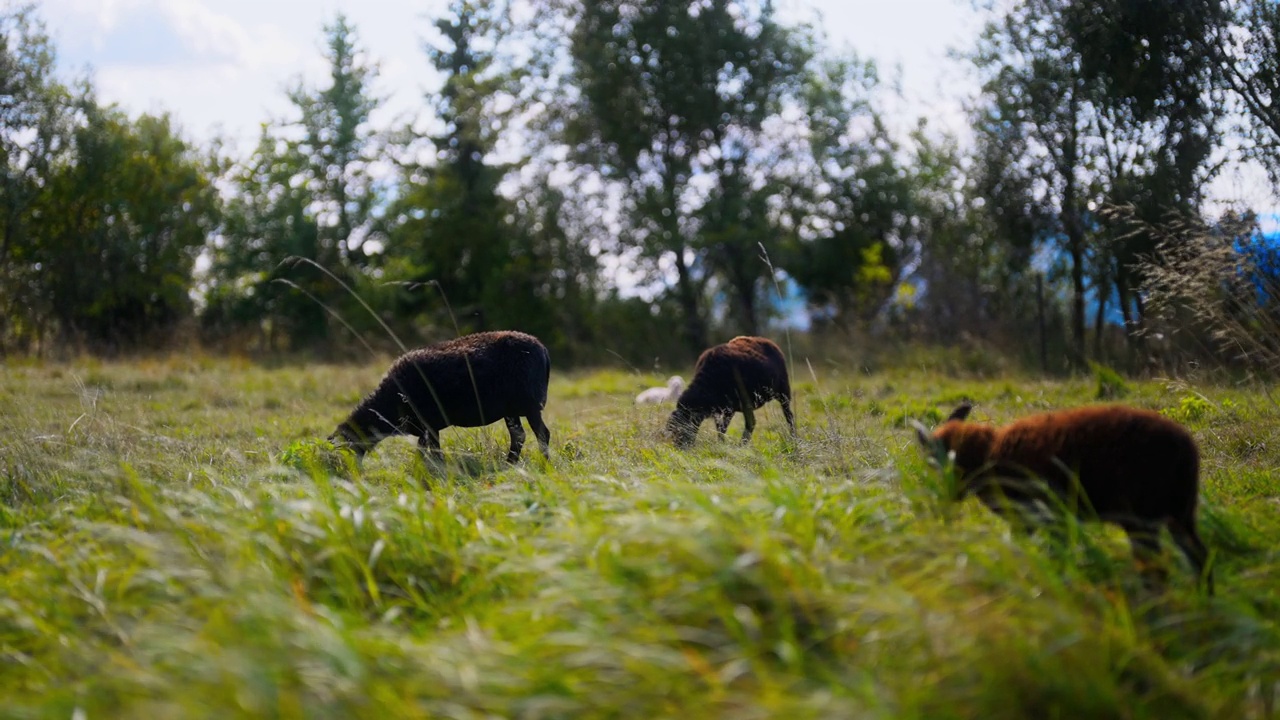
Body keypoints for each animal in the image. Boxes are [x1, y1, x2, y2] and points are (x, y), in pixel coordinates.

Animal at [330, 330, 550, 461]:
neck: (389, 404)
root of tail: (543, 350)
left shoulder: (429, 424)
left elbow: (432, 451)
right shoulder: (427, 428)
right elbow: (426, 450)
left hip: (530, 405)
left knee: (542, 434)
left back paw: (544, 464)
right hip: (511, 410)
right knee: (519, 436)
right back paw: (510, 463)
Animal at [665, 333, 793, 445]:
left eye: (683, 427)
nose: (679, 447)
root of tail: (769, 342)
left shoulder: (742, 403)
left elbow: (748, 423)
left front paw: (739, 446)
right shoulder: (724, 408)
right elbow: (721, 428)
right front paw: (721, 443)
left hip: (783, 393)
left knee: (788, 416)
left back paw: (793, 438)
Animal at [911, 399, 1208, 591]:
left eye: (934, 463)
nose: (945, 501)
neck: (989, 454)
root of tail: (1185, 446)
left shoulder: (1045, 518)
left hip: (1144, 521)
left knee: (1155, 568)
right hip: (1181, 514)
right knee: (1198, 557)